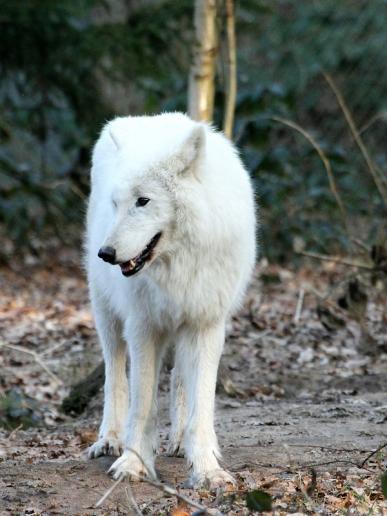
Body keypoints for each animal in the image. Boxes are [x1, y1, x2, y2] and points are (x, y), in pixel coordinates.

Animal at [87, 112, 258, 488]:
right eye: (116, 203)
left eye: (143, 201)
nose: (105, 253)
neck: (178, 264)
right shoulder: (142, 326)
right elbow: (142, 405)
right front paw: (133, 463)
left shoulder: (206, 324)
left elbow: (201, 405)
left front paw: (206, 469)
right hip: (106, 313)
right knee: (114, 375)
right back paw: (109, 440)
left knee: (179, 376)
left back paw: (179, 443)